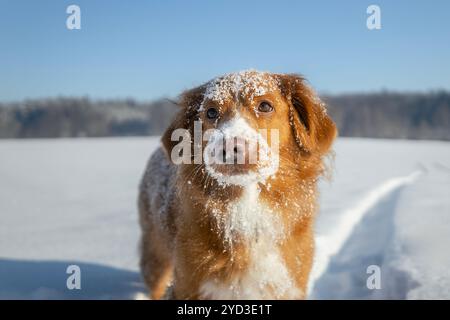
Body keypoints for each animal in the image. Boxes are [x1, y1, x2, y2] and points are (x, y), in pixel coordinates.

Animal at [139, 70, 336, 300]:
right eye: (211, 112)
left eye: (265, 106)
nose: (232, 147)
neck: (247, 208)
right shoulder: (187, 285)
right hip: (156, 257)